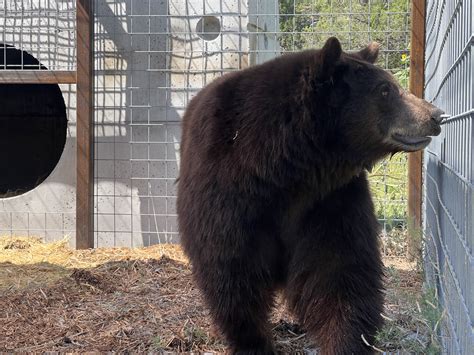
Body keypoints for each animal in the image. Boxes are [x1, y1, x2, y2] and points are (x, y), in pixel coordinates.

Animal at [177, 37, 444, 354]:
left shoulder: (329, 200)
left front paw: (346, 341)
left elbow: (339, 271)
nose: (436, 115)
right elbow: (232, 272)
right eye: (385, 89)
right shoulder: (228, 196)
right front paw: (253, 342)